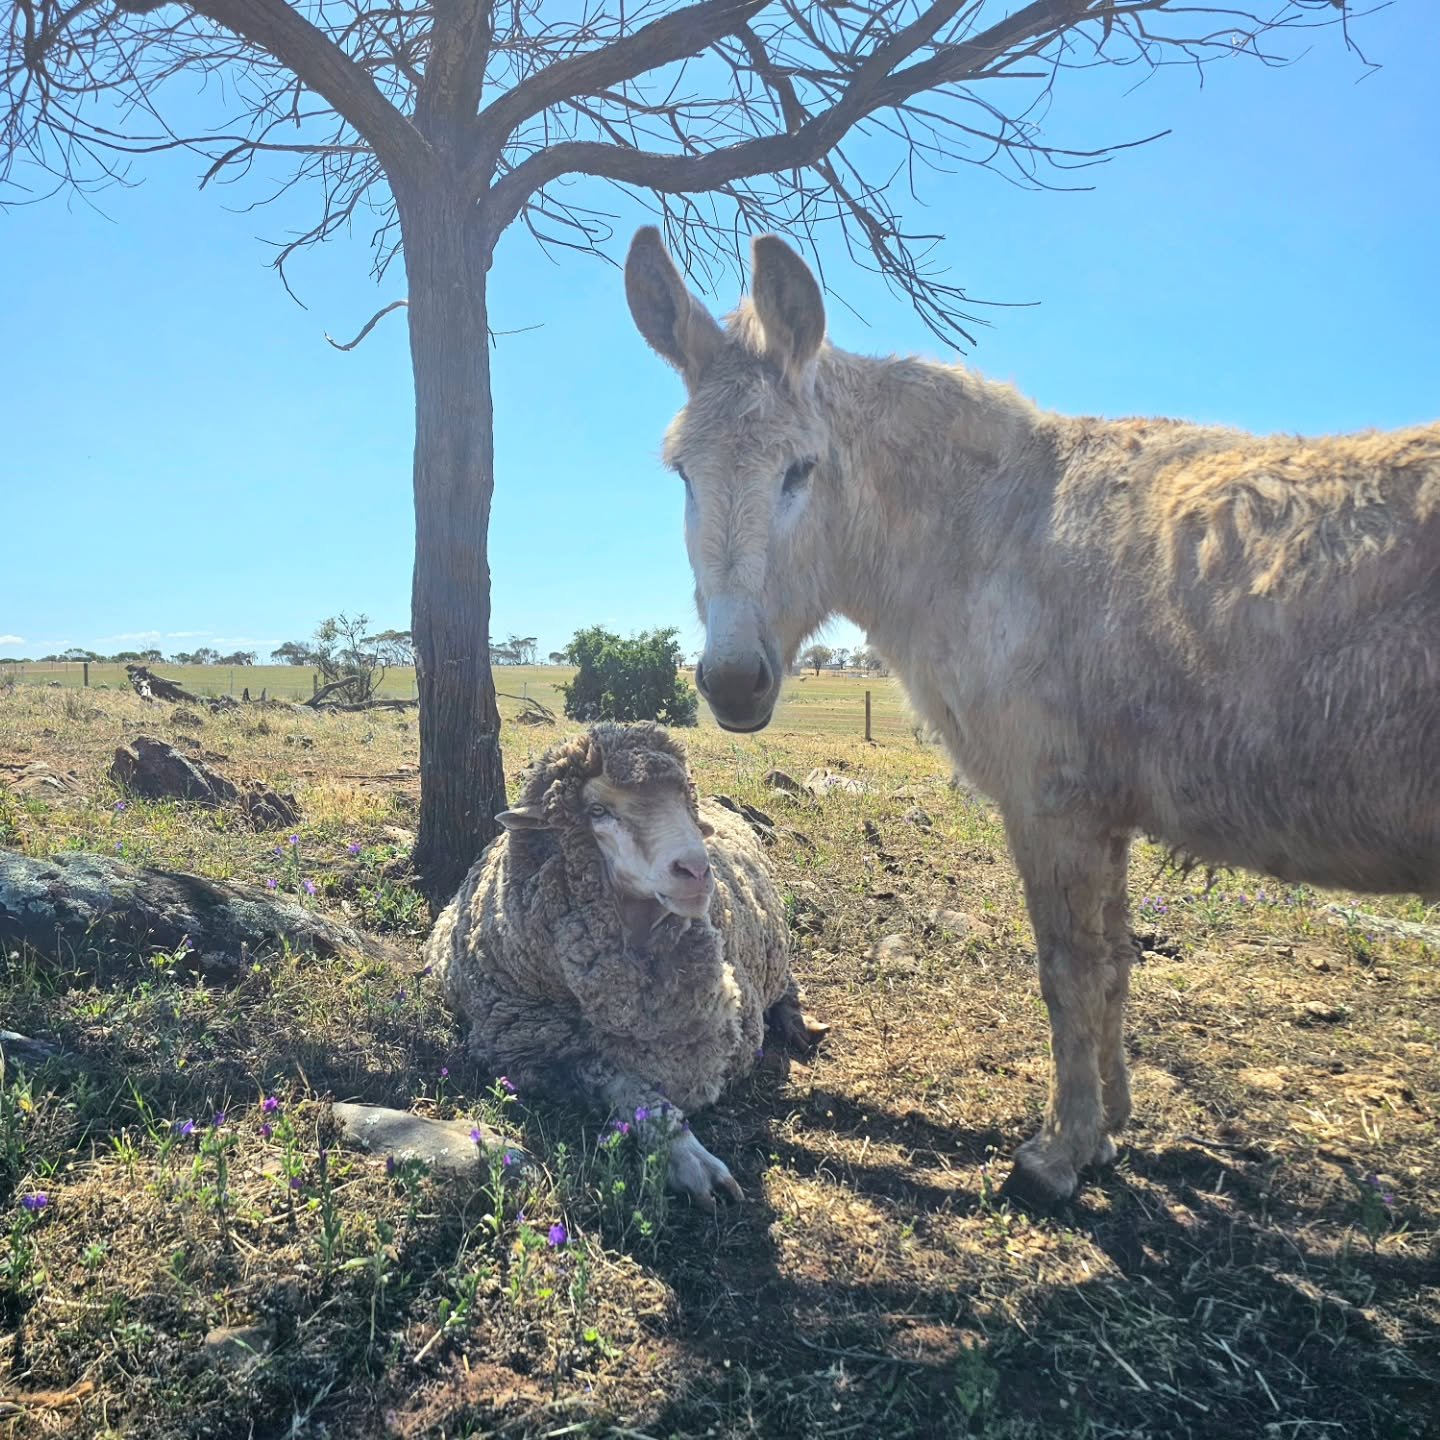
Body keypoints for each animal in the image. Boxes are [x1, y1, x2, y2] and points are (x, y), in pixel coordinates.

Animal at [425, 721, 827, 1207]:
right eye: (598, 811)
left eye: (682, 800)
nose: (697, 871)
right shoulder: (537, 1055)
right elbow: (629, 1088)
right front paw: (690, 1158)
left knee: (788, 985)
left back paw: (799, 1022)